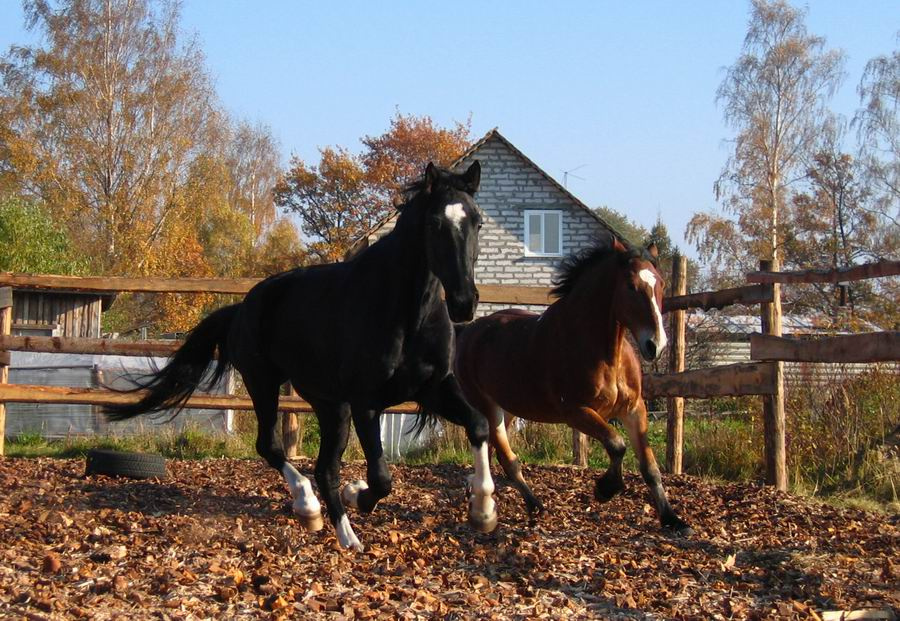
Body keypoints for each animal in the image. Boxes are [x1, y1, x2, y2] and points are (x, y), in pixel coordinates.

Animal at [105, 161, 500, 551]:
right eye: (435, 223)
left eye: (477, 222)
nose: (464, 302)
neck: (407, 314)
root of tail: (243, 307)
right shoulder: (366, 403)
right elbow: (381, 477)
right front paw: (358, 494)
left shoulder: (433, 388)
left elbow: (479, 425)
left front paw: (483, 511)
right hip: (265, 385)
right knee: (272, 447)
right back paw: (314, 510)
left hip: (330, 405)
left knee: (324, 468)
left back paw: (338, 530)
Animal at [451, 238, 692, 535]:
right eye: (630, 286)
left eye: (661, 284)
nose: (655, 345)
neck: (606, 353)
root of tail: (468, 332)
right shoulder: (576, 412)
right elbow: (616, 444)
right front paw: (605, 489)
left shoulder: (634, 409)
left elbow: (650, 467)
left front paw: (673, 520)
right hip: (488, 407)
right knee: (508, 459)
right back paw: (532, 506)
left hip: (508, 409)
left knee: (494, 453)